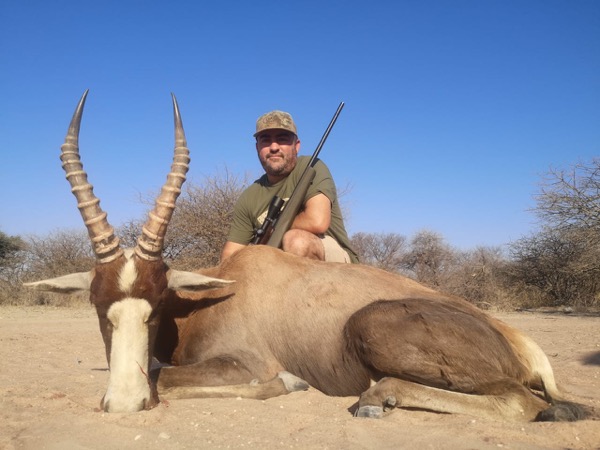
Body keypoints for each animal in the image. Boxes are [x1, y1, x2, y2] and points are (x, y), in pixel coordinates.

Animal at [25, 91, 592, 422]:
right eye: (98, 305)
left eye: (158, 301)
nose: (123, 403)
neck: (220, 290)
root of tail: (516, 339)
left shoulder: (245, 363)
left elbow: (168, 377)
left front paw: (288, 383)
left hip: (375, 327)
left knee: (523, 402)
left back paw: (375, 400)